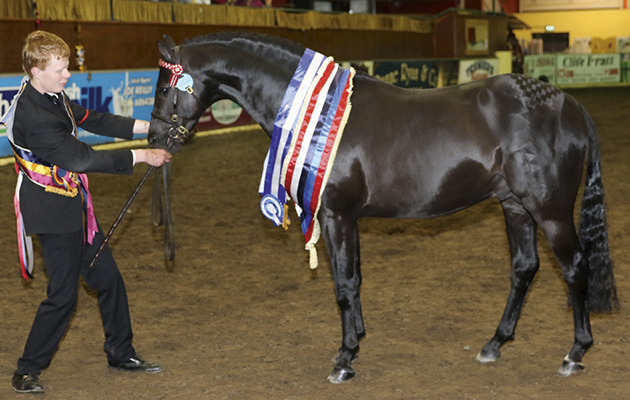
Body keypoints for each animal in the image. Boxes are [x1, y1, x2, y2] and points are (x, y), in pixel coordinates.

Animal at [149, 32, 616, 384]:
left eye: (165, 87)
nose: (154, 140)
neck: (321, 115)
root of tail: (569, 105)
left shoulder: (336, 215)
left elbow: (343, 285)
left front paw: (344, 358)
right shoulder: (345, 218)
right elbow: (351, 279)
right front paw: (355, 339)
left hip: (549, 211)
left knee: (576, 267)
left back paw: (575, 353)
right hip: (515, 207)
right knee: (524, 269)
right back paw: (495, 344)